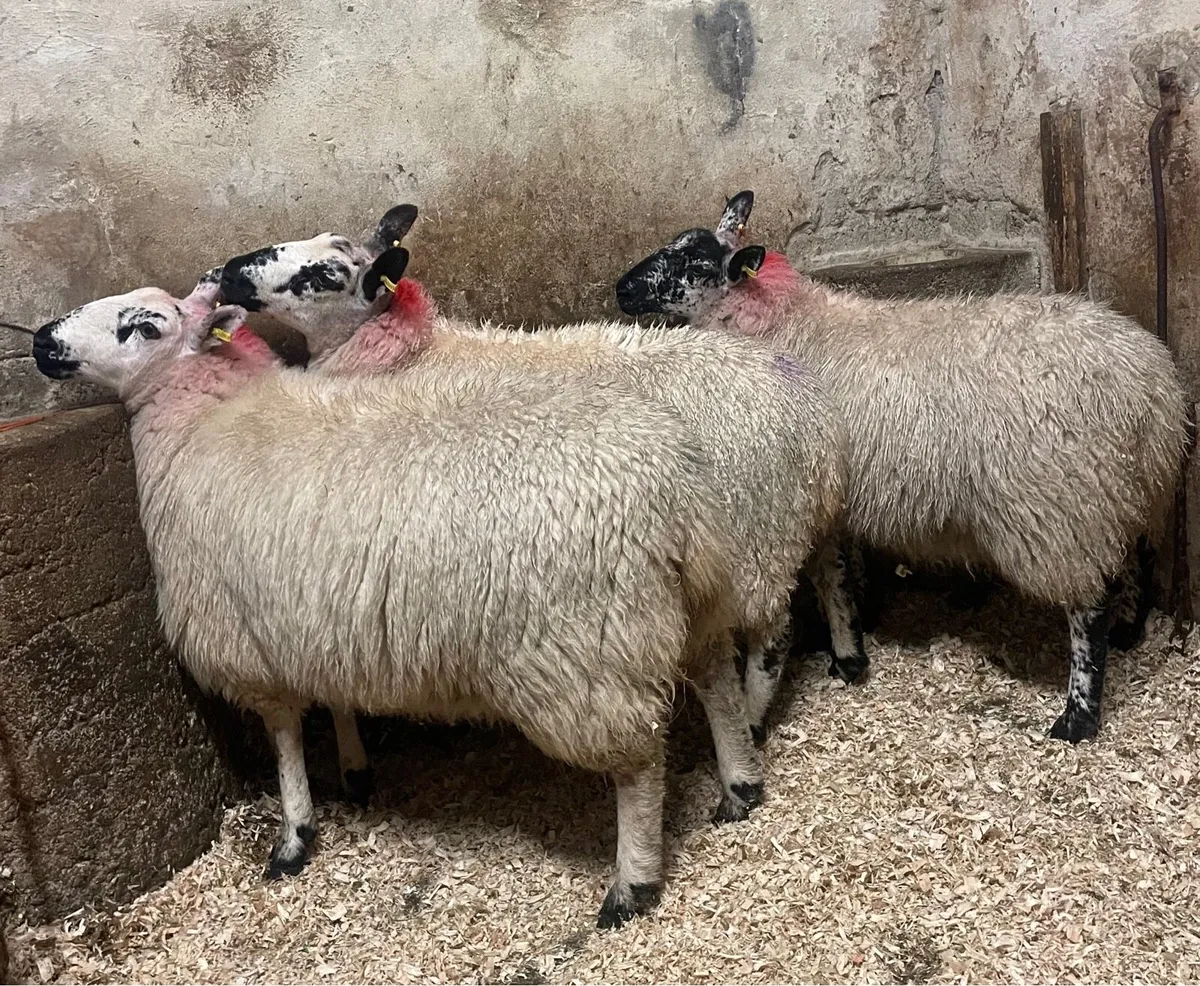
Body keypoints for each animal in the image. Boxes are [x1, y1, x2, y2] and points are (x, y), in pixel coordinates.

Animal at [31, 277, 748, 928]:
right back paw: (740, 785)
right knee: (717, 681)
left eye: (143, 325)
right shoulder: (322, 622)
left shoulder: (248, 641)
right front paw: (355, 772)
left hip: (585, 653)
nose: (42, 339)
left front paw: (293, 838)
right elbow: (339, 700)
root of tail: (672, 490)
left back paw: (632, 884)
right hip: (698, 604)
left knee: (638, 765)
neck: (204, 417)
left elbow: (285, 737)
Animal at [216, 205, 848, 753]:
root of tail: (806, 410)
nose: (231, 270)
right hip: (793, 530)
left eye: (323, 274)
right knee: (827, 573)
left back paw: (754, 719)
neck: (410, 352)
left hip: (756, 547)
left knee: (773, 637)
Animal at [614, 190, 1188, 744]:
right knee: (1136, 555)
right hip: (1128, 489)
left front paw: (848, 657)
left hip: (1062, 509)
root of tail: (1148, 385)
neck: (787, 325)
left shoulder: (815, 494)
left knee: (1087, 609)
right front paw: (856, 637)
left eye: (692, 261)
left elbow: (830, 577)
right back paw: (1128, 632)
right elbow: (844, 573)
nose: (621, 288)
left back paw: (1078, 716)